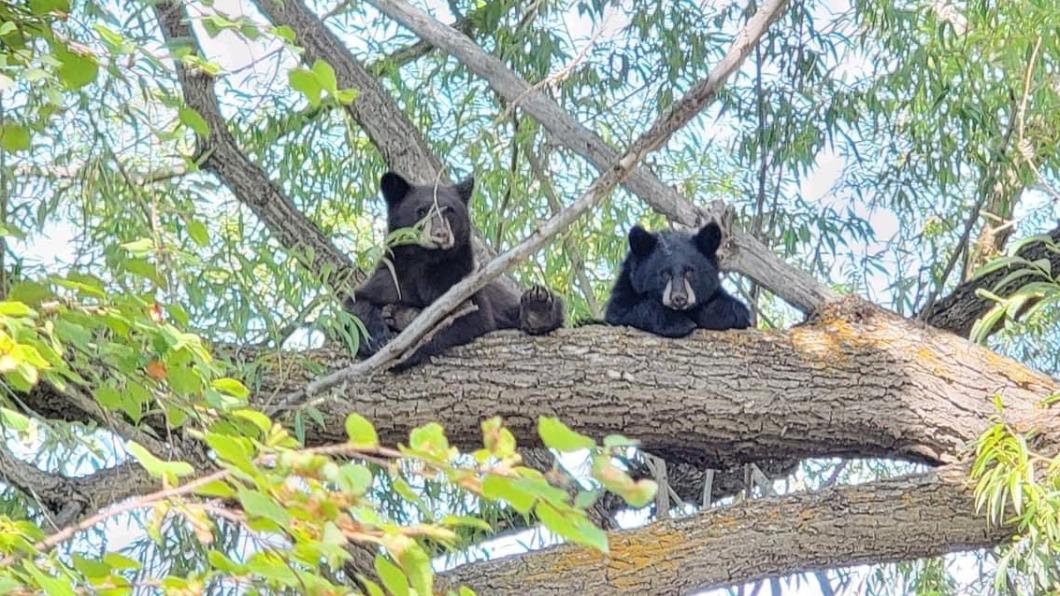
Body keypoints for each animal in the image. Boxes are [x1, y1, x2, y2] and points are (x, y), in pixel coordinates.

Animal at [343, 171, 564, 368]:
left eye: (449, 210)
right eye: (421, 211)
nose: (440, 234)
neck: (426, 262)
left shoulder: (461, 281)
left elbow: (468, 316)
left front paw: (406, 334)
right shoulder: (392, 275)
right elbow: (356, 304)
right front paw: (377, 338)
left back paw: (537, 307)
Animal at [604, 222, 751, 337]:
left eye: (689, 272)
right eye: (665, 274)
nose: (679, 298)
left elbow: (737, 310)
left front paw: (711, 315)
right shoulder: (627, 285)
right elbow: (621, 310)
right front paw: (679, 323)